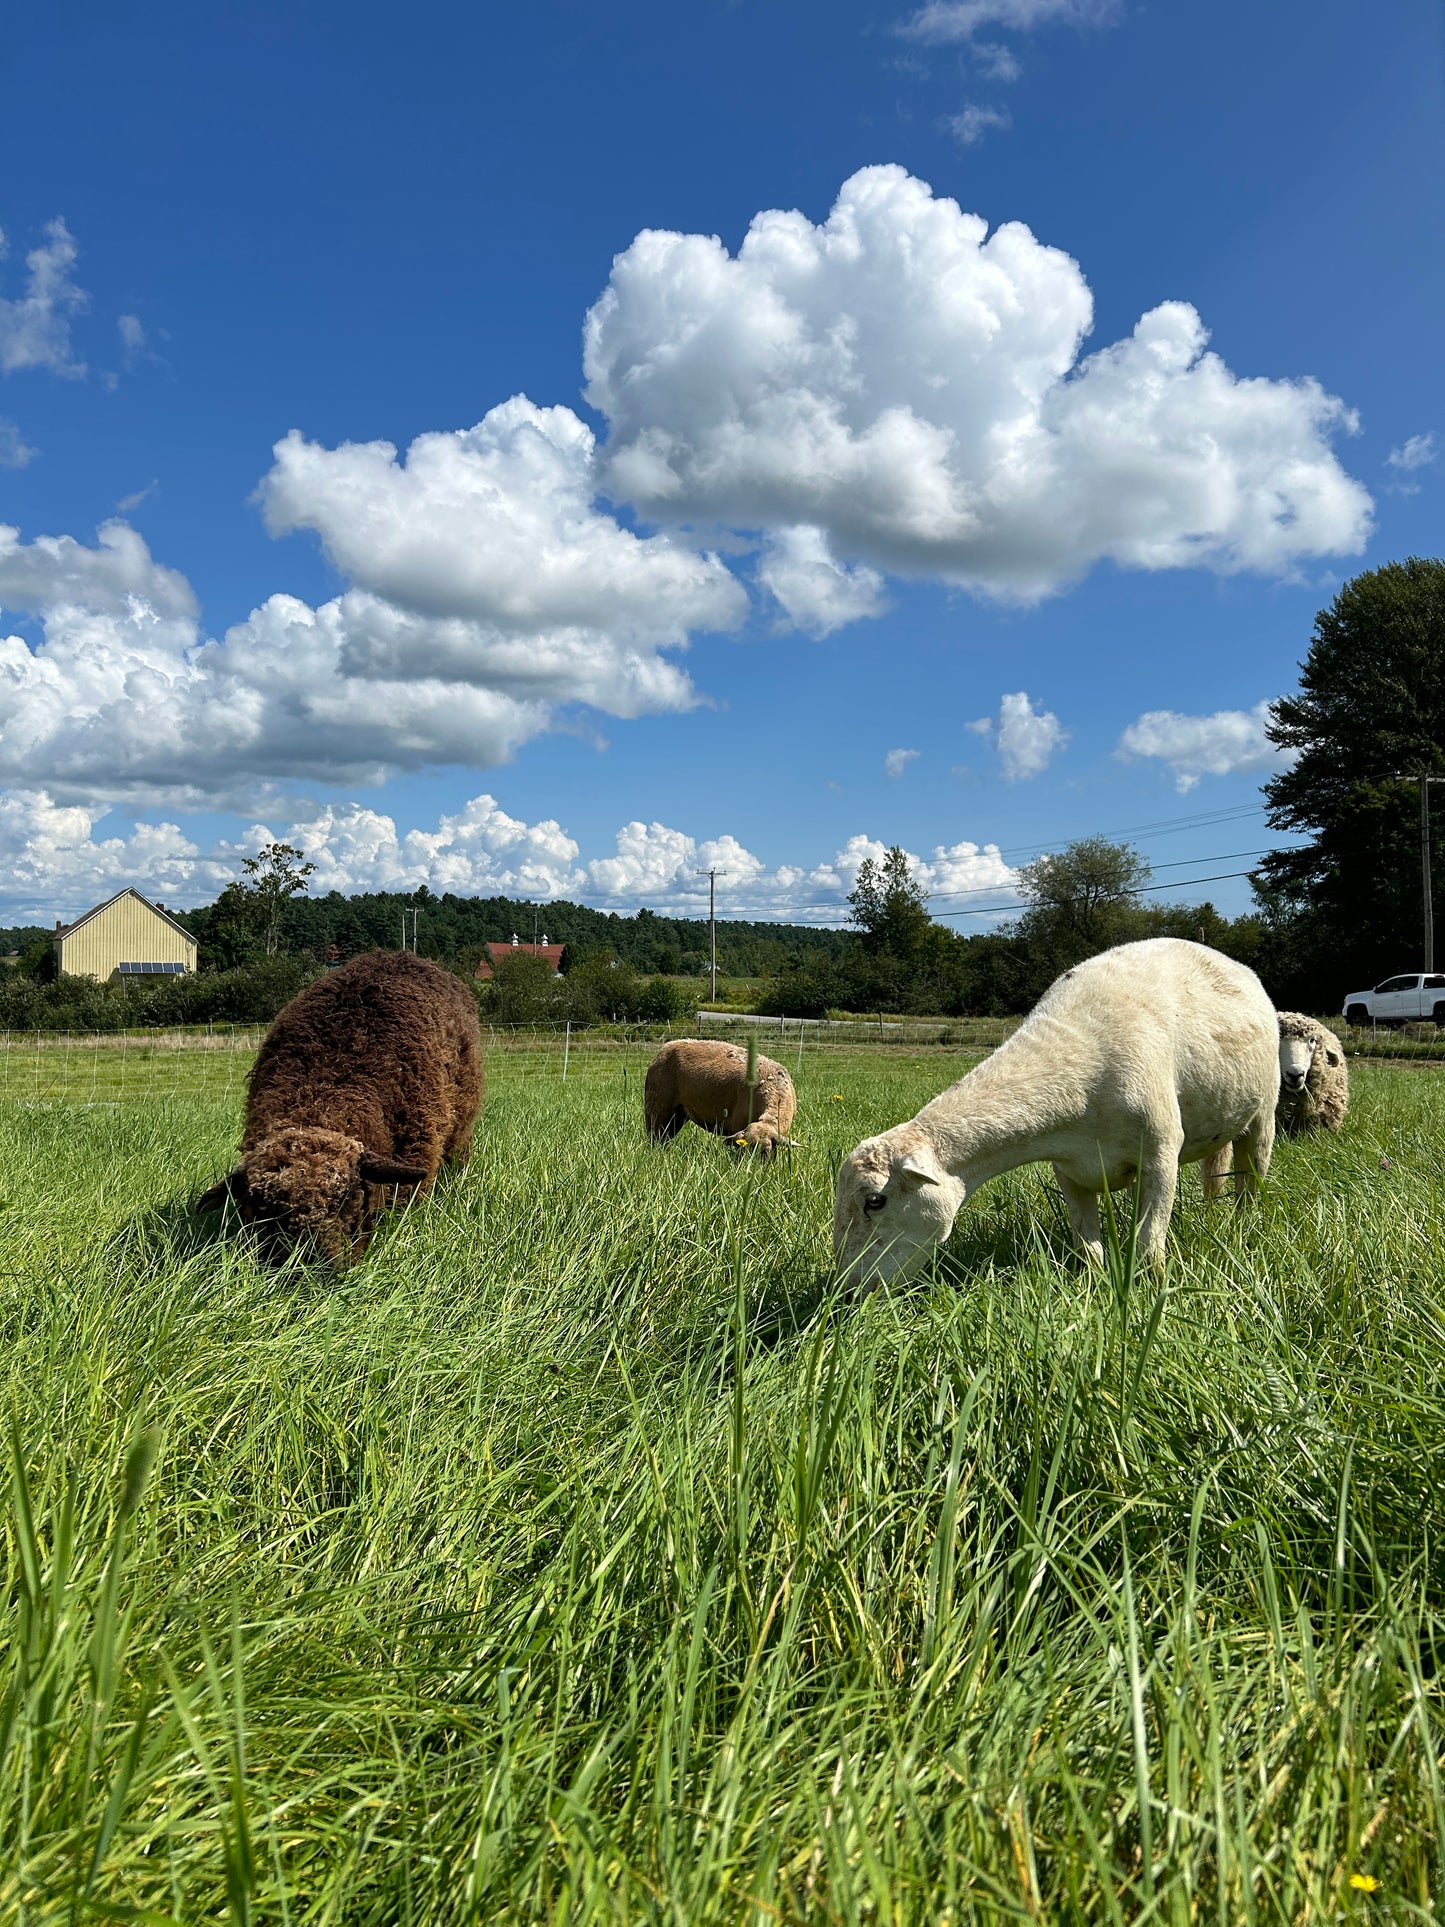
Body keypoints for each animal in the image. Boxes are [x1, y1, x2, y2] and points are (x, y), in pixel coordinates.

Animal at [197, 950, 483, 1265]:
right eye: (263, 1209)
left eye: (348, 1196)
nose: (310, 1268)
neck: (324, 1085)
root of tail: (398, 954)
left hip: (462, 1123)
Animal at [644, 1038, 797, 1156]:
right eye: (743, 1149)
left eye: (765, 1152)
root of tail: (666, 1046)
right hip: (658, 1106)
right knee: (655, 1136)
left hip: (678, 1113)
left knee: (665, 1136)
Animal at [834, 938, 1279, 1288]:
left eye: (875, 1200)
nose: (846, 1291)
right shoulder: (1070, 1169)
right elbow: (1088, 1244)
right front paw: (1094, 1286)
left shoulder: (1160, 1155)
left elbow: (1150, 1241)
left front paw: (1151, 1290)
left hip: (1265, 1111)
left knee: (1251, 1173)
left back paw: (1243, 1226)